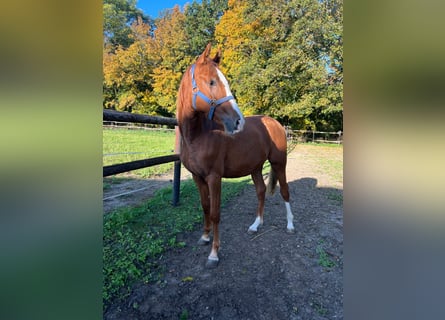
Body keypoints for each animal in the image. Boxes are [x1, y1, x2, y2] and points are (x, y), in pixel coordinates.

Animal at [175, 43, 294, 268]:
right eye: (212, 81)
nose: (238, 121)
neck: (198, 135)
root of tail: (274, 122)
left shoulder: (214, 177)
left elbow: (215, 213)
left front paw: (214, 253)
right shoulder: (197, 177)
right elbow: (205, 207)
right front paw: (204, 237)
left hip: (278, 163)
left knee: (284, 191)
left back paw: (291, 224)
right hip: (256, 167)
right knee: (261, 191)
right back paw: (256, 225)